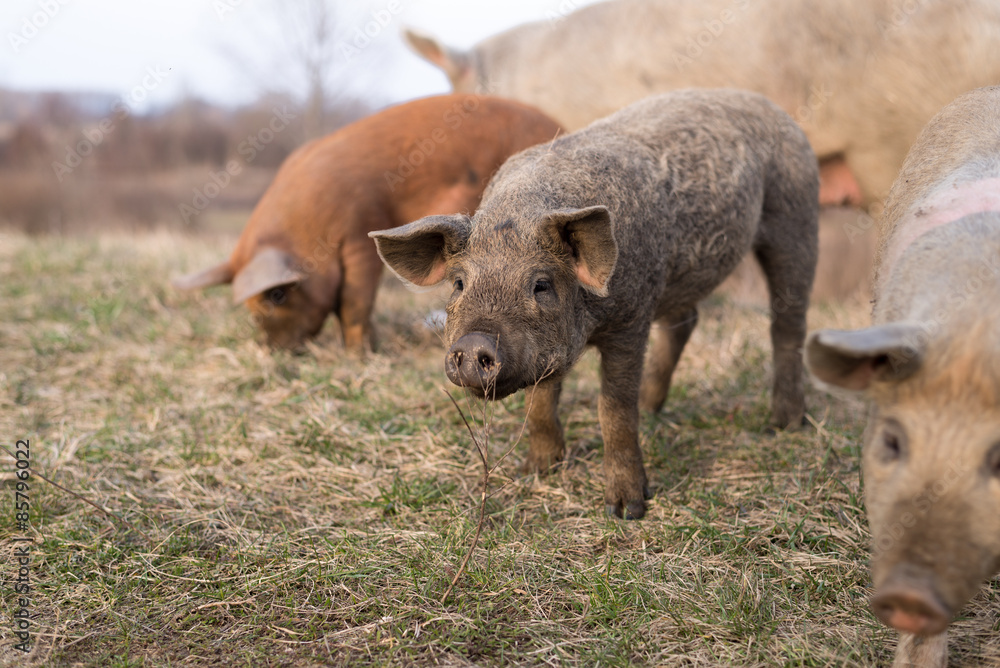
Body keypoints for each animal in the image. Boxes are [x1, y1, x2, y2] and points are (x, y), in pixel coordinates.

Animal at [171, 94, 562, 351]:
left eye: (278, 295)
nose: (274, 351)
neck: (311, 225)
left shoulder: (360, 231)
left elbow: (354, 299)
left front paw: (359, 355)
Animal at [371, 89, 819, 519]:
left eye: (541, 285)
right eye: (459, 283)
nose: (473, 343)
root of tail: (774, 109)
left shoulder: (632, 319)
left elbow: (614, 408)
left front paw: (626, 510)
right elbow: (540, 400)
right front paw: (537, 470)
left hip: (795, 217)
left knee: (788, 323)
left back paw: (784, 425)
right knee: (687, 321)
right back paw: (653, 409)